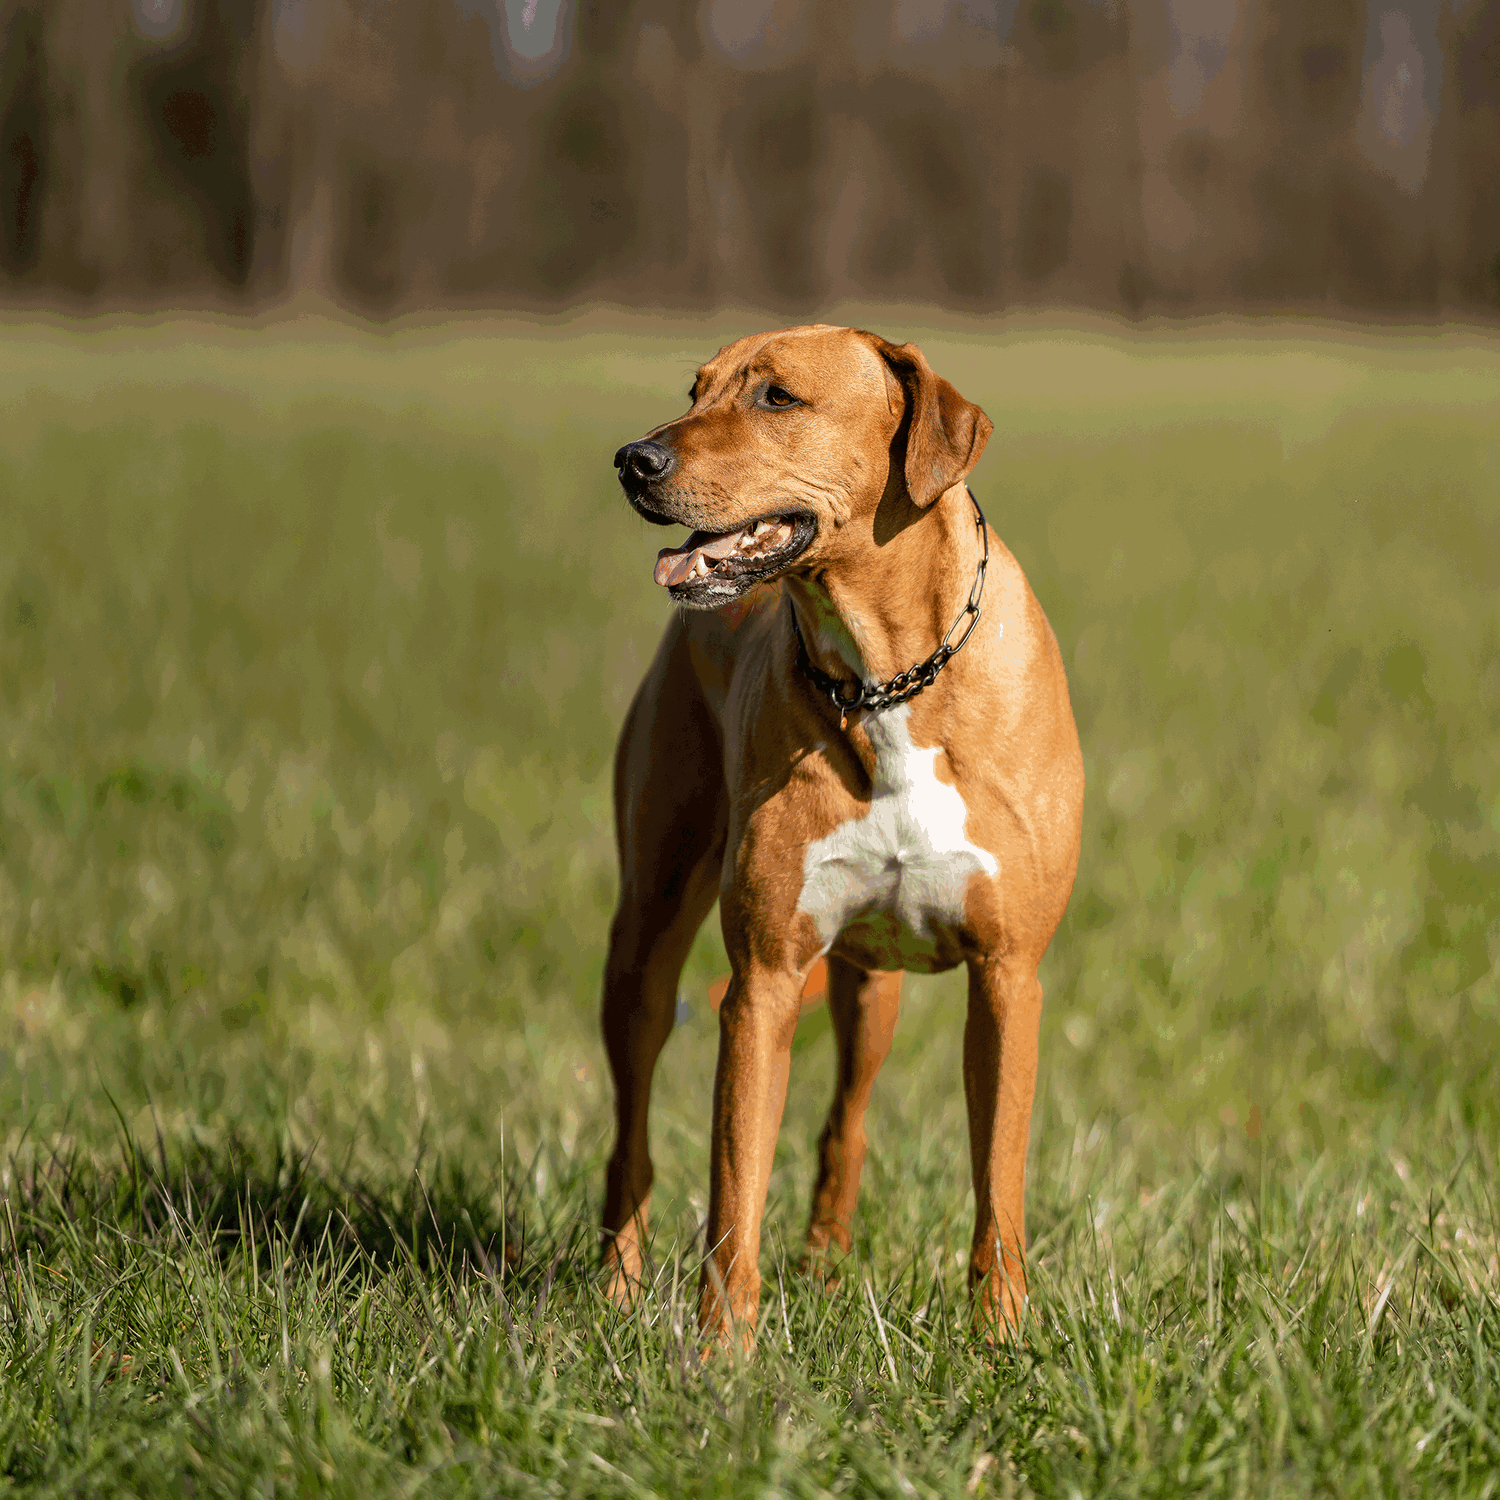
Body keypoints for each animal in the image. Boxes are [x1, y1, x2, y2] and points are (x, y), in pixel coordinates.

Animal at [603, 325, 1086, 1338]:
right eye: (696, 390)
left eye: (778, 398)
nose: (633, 458)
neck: (886, 677)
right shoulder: (764, 980)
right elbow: (736, 1187)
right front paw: (721, 1352)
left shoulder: (1008, 975)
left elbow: (999, 1184)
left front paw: (1001, 1337)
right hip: (645, 939)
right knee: (632, 1132)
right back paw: (619, 1281)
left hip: (874, 989)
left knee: (845, 1123)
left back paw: (826, 1267)